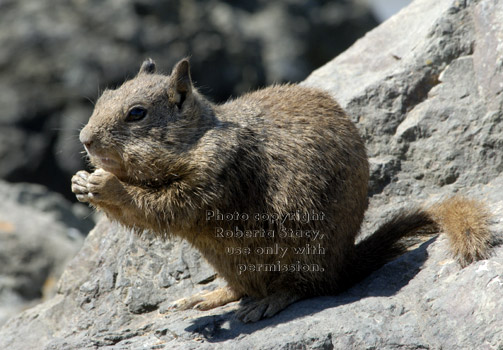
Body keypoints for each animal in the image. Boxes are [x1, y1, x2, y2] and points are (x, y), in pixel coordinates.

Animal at [71, 57, 496, 322]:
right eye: (104, 97)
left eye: (136, 113)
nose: (85, 139)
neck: (197, 136)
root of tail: (344, 262)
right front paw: (80, 181)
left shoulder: (219, 172)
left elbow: (169, 206)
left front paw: (106, 184)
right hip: (228, 260)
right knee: (242, 287)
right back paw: (207, 296)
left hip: (303, 252)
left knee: (306, 288)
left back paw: (269, 301)